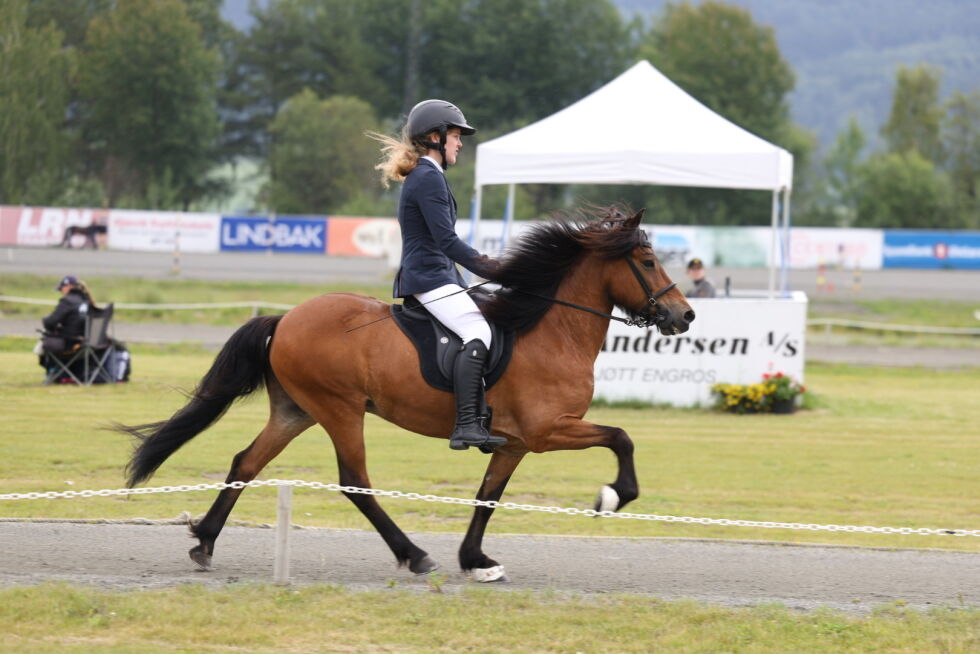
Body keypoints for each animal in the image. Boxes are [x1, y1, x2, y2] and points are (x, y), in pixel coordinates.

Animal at [118, 206, 692, 584]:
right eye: (647, 260)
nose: (684, 315)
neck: (551, 331)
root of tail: (285, 319)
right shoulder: (547, 430)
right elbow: (621, 436)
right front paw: (612, 496)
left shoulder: (513, 443)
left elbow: (487, 497)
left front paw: (476, 560)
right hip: (339, 409)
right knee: (355, 482)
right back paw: (413, 554)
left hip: (297, 411)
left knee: (246, 462)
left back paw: (205, 541)